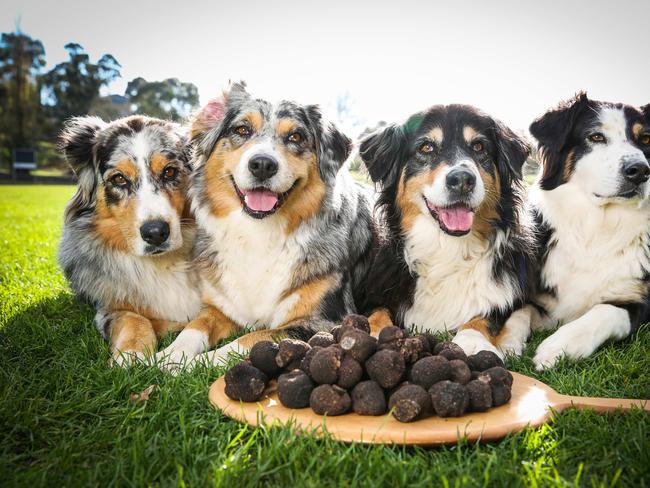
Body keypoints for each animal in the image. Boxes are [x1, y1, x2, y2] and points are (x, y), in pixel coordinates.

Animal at [58, 115, 200, 366]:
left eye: (170, 172)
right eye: (119, 179)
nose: (156, 233)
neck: (162, 264)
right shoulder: (108, 308)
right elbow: (133, 318)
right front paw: (131, 353)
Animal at [154, 84, 372, 370]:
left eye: (296, 136)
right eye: (242, 130)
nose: (262, 165)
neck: (259, 233)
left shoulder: (324, 322)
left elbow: (250, 339)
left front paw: (197, 363)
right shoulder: (223, 307)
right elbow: (195, 326)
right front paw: (166, 357)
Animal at [356, 105, 536, 358]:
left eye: (479, 147)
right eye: (426, 147)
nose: (462, 179)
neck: (447, 248)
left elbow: (486, 315)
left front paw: (471, 341)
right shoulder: (374, 292)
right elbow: (377, 313)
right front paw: (372, 334)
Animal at [528, 94, 648, 370]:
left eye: (646, 139)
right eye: (596, 137)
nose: (641, 170)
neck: (596, 230)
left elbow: (606, 310)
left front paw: (559, 346)